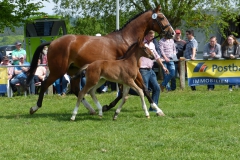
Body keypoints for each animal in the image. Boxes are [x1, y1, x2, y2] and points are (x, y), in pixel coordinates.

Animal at [26, 5, 174, 115]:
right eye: (161, 17)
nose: (171, 33)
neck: (126, 40)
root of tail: (52, 43)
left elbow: (129, 91)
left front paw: (107, 106)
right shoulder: (131, 72)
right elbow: (143, 89)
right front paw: (157, 109)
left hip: (74, 71)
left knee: (76, 90)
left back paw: (91, 109)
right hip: (58, 71)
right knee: (45, 84)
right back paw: (34, 108)